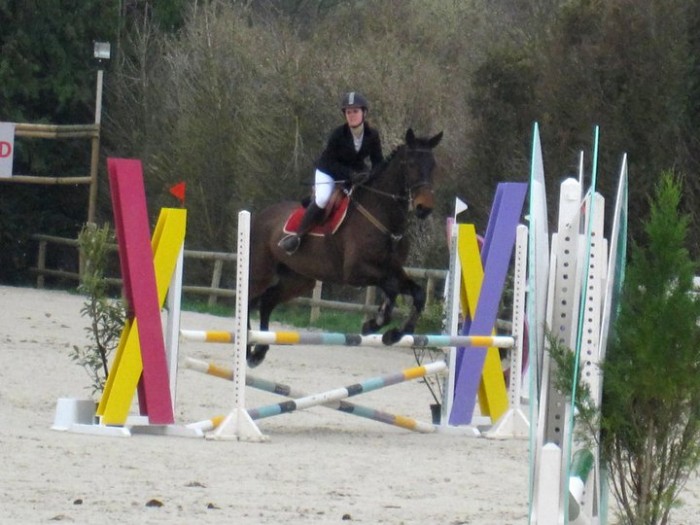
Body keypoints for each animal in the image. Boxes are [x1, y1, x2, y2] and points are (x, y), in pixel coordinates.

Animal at [246, 128, 443, 367]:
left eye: (433, 165)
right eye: (411, 164)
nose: (425, 208)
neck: (383, 217)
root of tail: (259, 216)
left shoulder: (394, 269)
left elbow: (418, 294)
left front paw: (394, 333)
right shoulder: (356, 272)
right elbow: (391, 288)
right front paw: (374, 323)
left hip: (298, 280)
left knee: (267, 302)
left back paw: (259, 352)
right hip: (260, 273)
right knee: (248, 300)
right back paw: (247, 349)